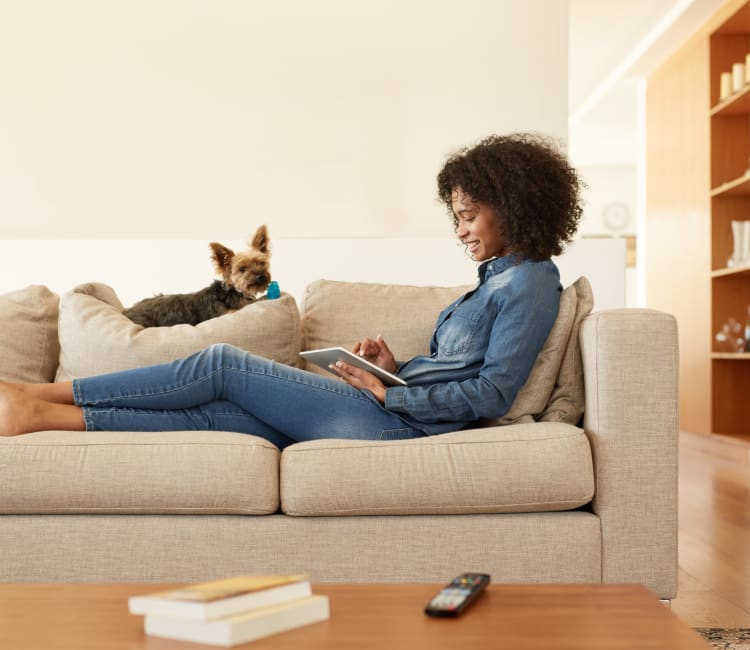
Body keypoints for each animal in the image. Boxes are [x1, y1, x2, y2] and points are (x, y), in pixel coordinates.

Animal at [123, 224, 274, 326]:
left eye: (261, 263)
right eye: (242, 269)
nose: (261, 276)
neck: (235, 291)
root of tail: (127, 311)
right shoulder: (229, 314)